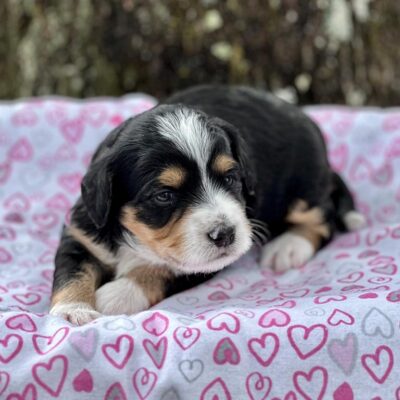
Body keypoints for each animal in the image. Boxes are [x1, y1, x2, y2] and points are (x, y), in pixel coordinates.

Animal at [48, 85, 364, 324]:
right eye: (164, 195)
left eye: (231, 178)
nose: (225, 234)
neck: (136, 239)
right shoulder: (81, 233)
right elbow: (71, 273)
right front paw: (73, 311)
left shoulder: (198, 264)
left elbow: (159, 271)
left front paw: (114, 294)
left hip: (303, 189)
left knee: (324, 216)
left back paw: (288, 247)